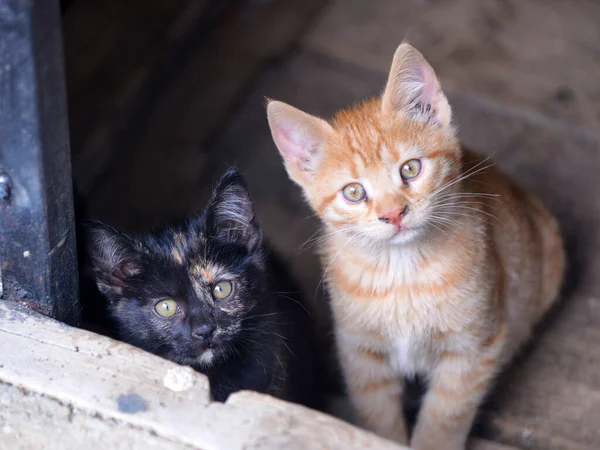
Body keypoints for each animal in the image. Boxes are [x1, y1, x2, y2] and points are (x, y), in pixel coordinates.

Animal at [270, 43, 564, 450]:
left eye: (410, 169)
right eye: (353, 192)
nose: (394, 214)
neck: (403, 273)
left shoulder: (473, 351)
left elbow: (443, 420)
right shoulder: (361, 353)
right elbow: (377, 418)